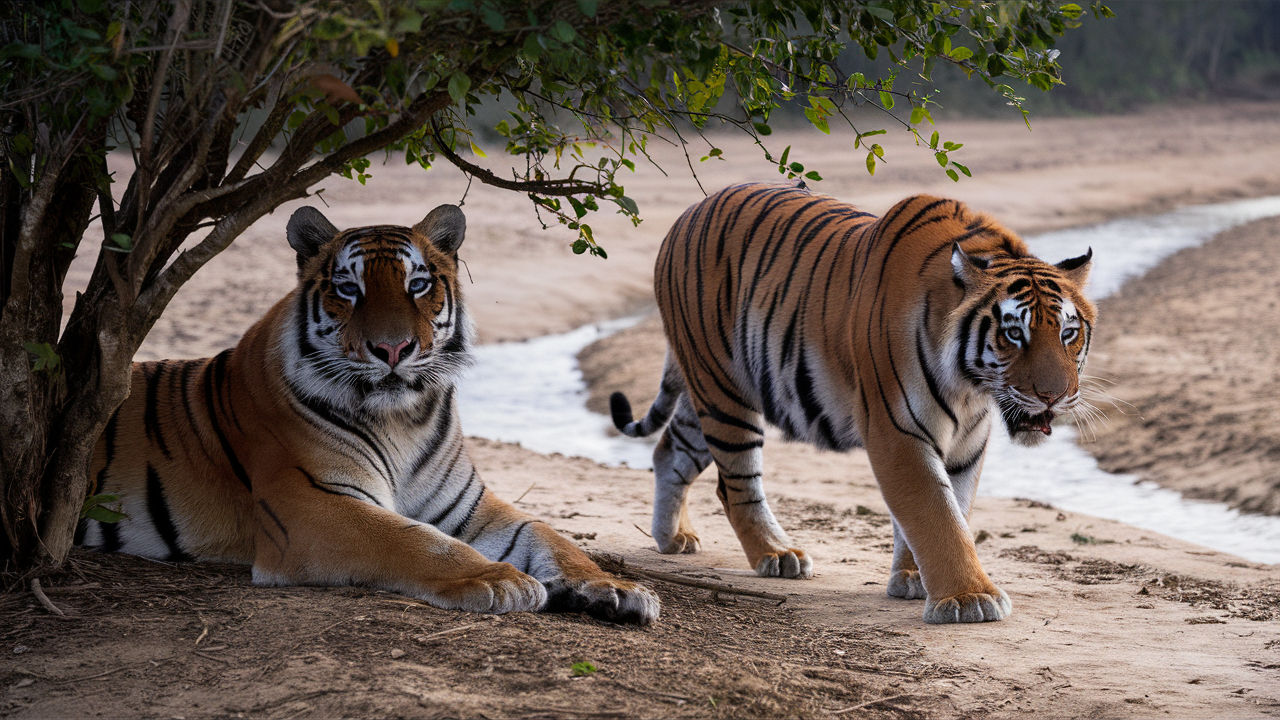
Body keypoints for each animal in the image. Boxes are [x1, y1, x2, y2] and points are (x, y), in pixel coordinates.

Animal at [77, 203, 660, 622]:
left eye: (417, 284)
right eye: (348, 289)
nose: (393, 349)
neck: (403, 418)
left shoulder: (467, 505)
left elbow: (549, 536)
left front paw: (616, 587)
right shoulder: (312, 504)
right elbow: (413, 540)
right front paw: (499, 580)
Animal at [609, 180, 1090, 622]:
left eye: (1068, 333)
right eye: (1014, 333)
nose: (1055, 396)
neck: (971, 388)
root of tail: (686, 215)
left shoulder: (967, 443)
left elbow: (953, 508)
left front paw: (913, 578)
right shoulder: (897, 431)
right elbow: (938, 515)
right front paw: (970, 597)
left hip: (705, 391)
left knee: (669, 450)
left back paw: (673, 539)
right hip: (723, 389)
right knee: (734, 483)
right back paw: (776, 553)